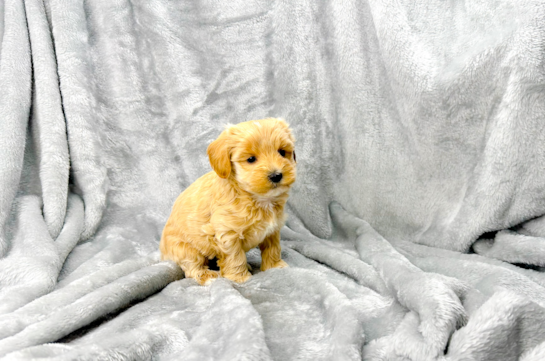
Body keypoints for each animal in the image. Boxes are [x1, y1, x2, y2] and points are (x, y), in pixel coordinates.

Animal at [160, 118, 298, 284]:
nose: (276, 175)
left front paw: (275, 266)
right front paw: (240, 277)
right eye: (251, 159)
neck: (257, 199)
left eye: (282, 152)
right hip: (185, 249)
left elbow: (273, 248)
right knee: (192, 267)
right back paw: (208, 276)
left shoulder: (272, 230)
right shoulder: (226, 233)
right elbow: (234, 256)